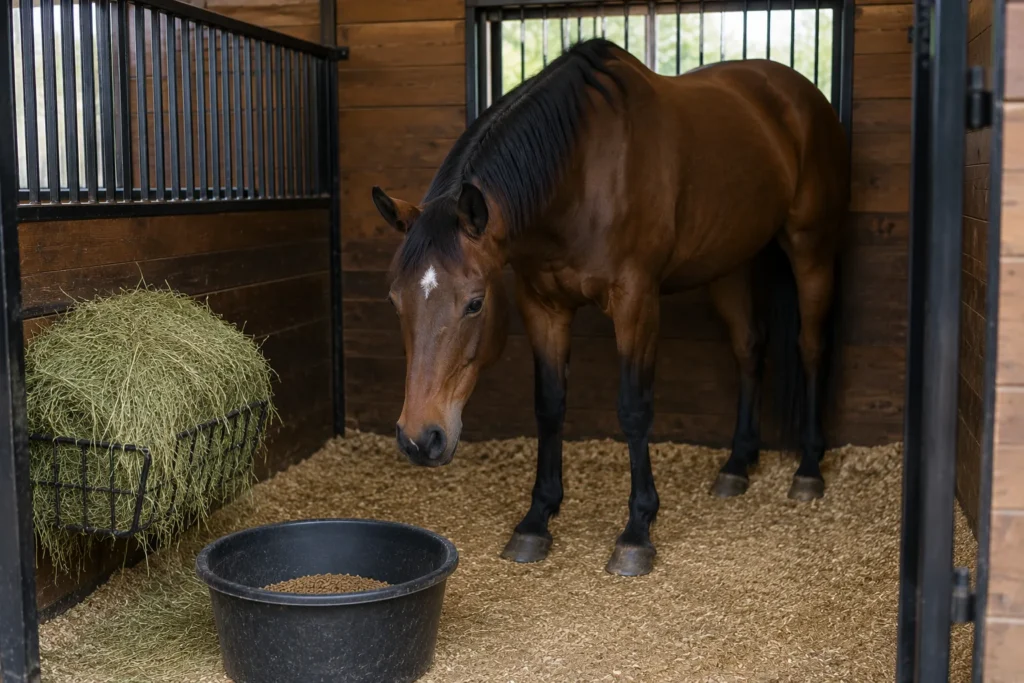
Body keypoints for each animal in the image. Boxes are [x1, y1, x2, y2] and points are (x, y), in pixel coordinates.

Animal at [370, 38, 849, 577]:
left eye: (475, 303)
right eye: (395, 301)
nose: (419, 438)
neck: (578, 172)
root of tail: (799, 95)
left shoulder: (635, 300)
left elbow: (633, 409)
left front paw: (637, 530)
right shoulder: (543, 305)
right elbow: (549, 405)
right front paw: (536, 520)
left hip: (811, 248)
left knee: (811, 347)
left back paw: (808, 470)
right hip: (730, 264)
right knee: (749, 348)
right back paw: (737, 464)